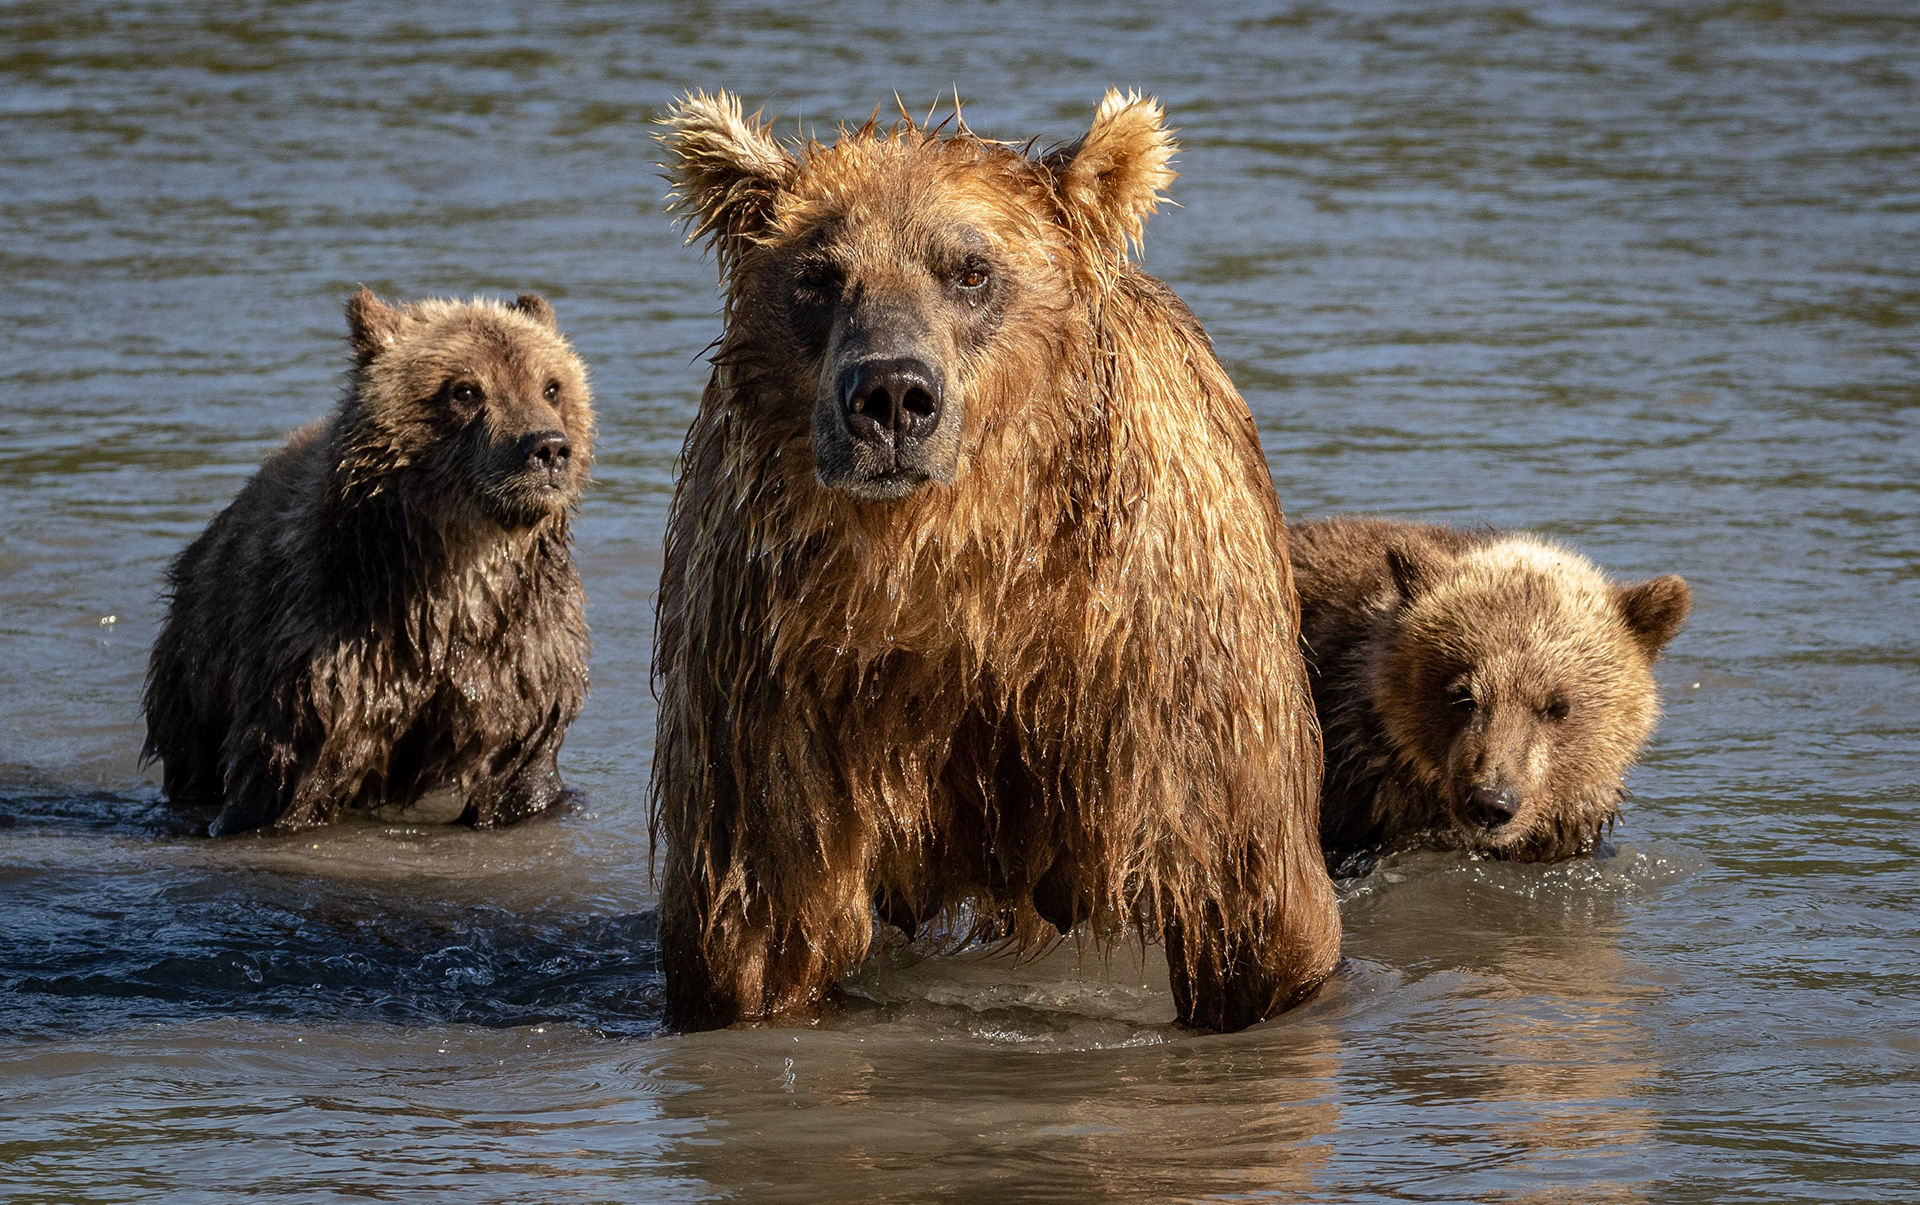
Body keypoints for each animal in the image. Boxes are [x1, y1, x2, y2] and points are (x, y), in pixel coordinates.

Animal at [141, 291, 587, 836]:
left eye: (552, 385)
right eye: (464, 389)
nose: (548, 448)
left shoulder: (522, 646)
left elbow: (521, 772)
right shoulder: (336, 639)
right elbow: (283, 776)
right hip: (197, 662)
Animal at [652, 91, 1344, 1036]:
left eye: (970, 271)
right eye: (818, 276)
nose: (891, 396)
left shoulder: (1162, 660)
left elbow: (1250, 912)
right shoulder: (768, 662)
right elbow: (758, 922)